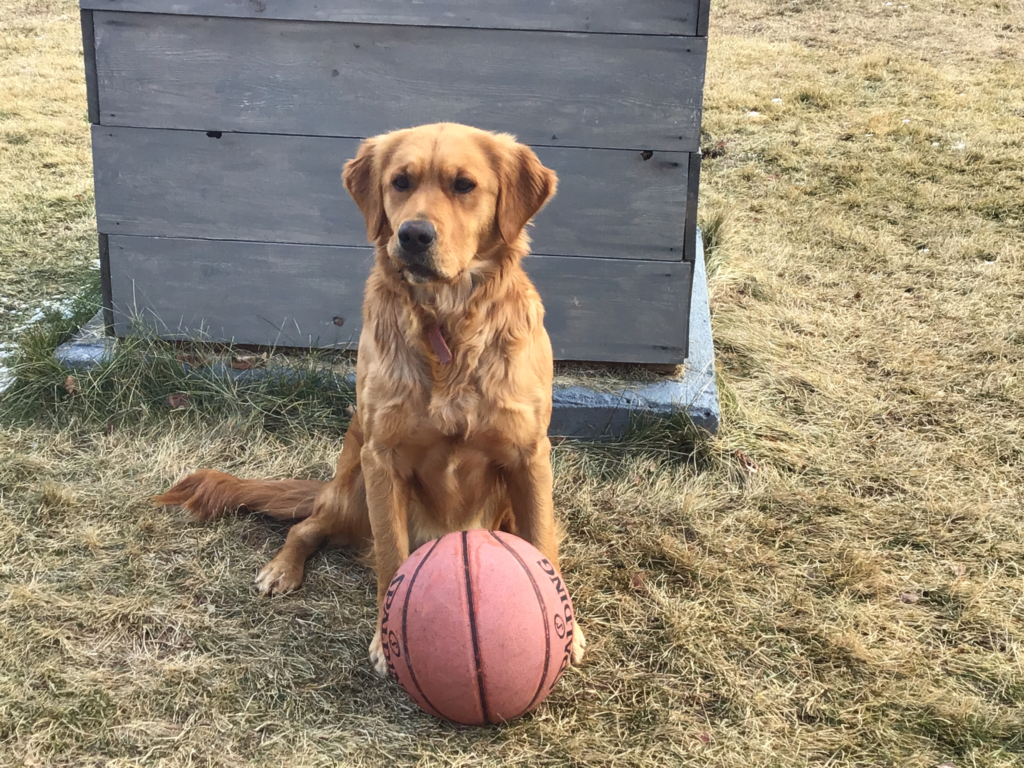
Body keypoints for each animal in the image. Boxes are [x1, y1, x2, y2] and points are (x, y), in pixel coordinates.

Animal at [153, 123, 585, 675]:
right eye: (400, 182)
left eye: (464, 185)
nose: (414, 235)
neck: (446, 325)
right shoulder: (383, 459)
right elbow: (390, 555)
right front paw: (386, 637)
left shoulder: (528, 456)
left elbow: (542, 541)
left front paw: (569, 632)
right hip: (354, 485)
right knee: (307, 527)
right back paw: (281, 568)